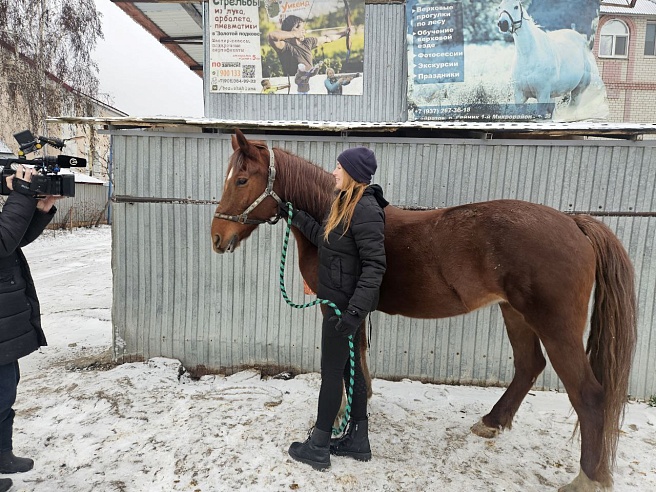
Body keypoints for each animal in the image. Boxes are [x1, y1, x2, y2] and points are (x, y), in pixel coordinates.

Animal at [211, 129, 636, 492]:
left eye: (242, 180)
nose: (216, 237)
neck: (338, 217)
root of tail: (574, 223)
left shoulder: (337, 311)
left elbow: (344, 367)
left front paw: (336, 420)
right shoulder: (355, 314)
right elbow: (358, 366)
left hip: (556, 326)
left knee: (589, 395)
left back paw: (588, 478)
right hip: (515, 314)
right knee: (528, 366)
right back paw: (491, 423)